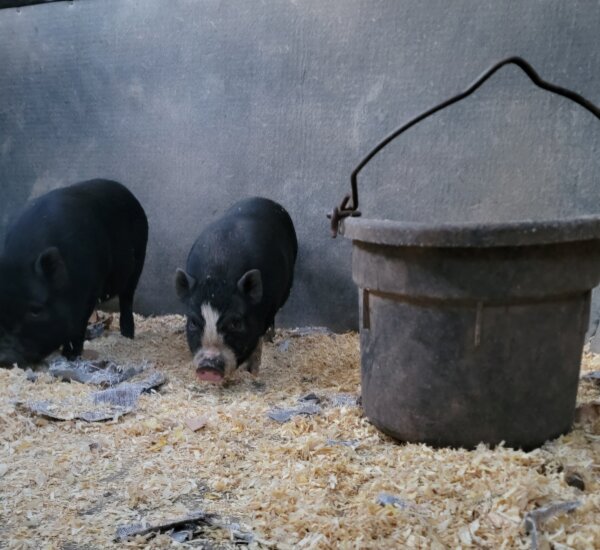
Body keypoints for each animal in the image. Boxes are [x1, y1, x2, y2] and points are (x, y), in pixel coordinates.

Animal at [0, 179, 148, 366]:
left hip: (139, 259)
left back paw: (128, 334)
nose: (4, 358)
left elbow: (78, 327)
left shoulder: (90, 292)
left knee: (127, 298)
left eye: (36, 310)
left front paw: (70, 355)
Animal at [175, 197, 297, 382]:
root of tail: (264, 199)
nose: (208, 367)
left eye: (235, 322)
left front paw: (252, 372)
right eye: (193, 322)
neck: (218, 272)